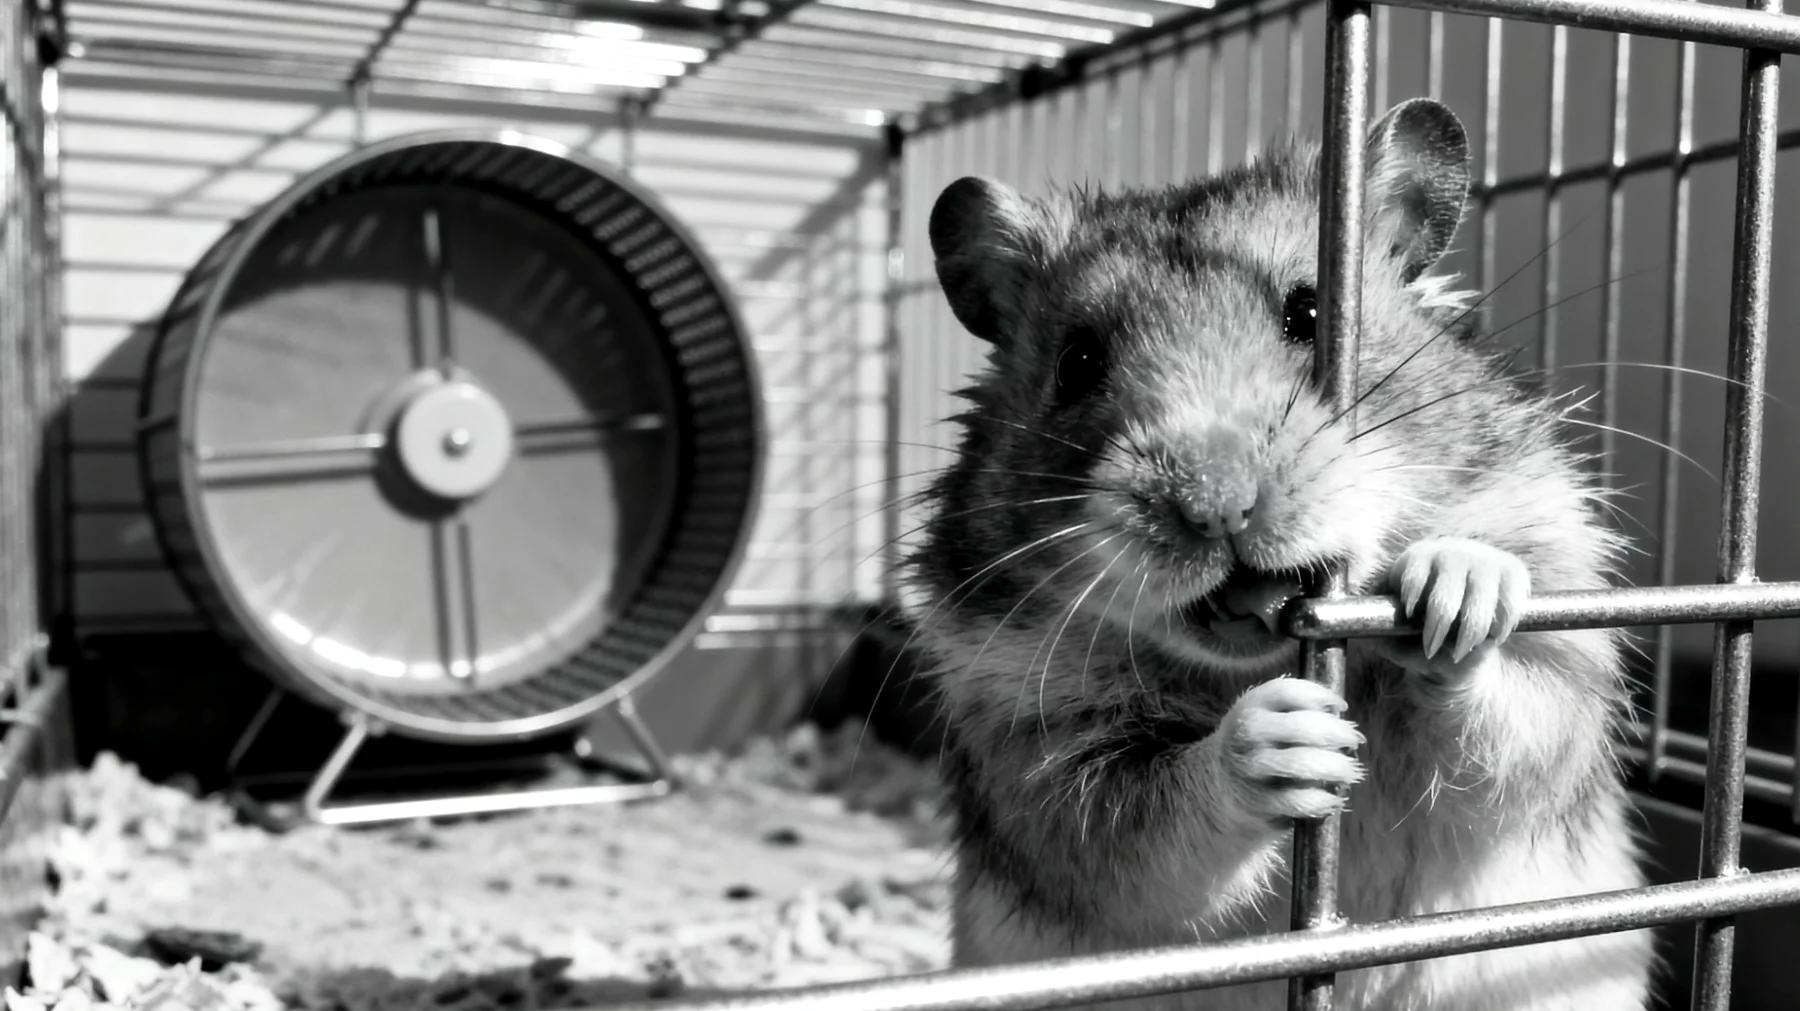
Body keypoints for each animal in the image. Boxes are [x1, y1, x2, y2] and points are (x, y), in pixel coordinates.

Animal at [905, 98, 1655, 1011]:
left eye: (1310, 315)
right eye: (1077, 362)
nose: (1216, 503)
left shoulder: (1562, 616)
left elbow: (1519, 718)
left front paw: (1454, 587)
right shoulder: (1033, 748)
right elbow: (1137, 825)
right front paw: (1287, 734)